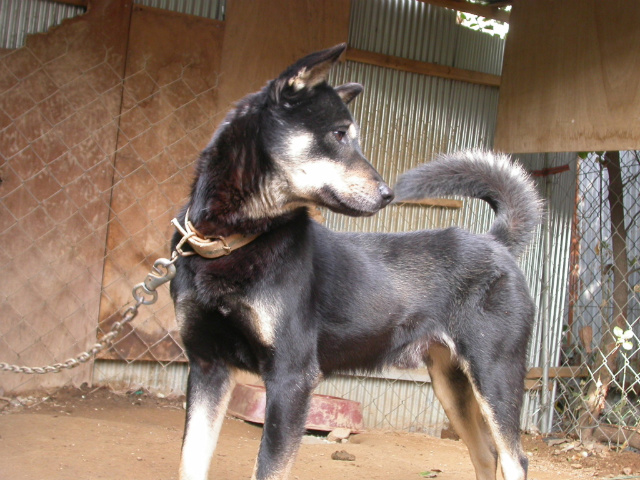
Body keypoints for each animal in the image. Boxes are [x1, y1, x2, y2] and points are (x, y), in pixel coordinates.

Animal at [170, 43, 540, 478]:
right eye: (339, 134)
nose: (388, 193)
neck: (233, 241)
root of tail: (495, 241)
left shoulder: (291, 377)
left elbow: (268, 468)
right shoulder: (207, 367)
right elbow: (190, 460)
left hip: (494, 375)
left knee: (514, 458)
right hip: (451, 384)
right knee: (486, 454)